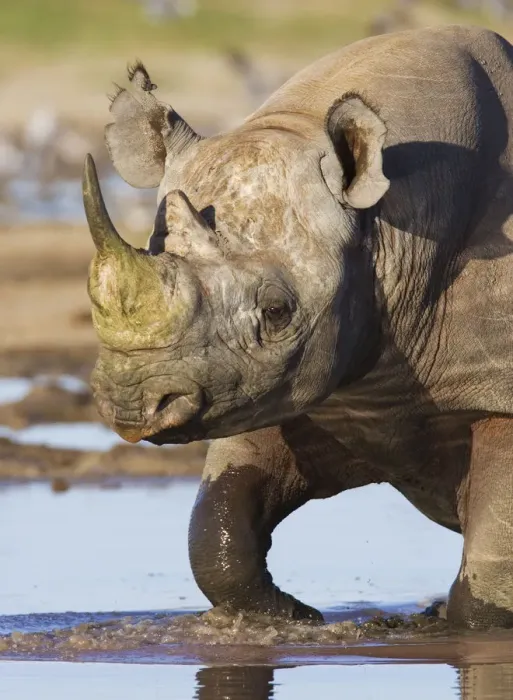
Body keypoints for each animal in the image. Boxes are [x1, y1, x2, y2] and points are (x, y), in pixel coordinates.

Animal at [83, 24, 513, 629]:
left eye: (277, 311)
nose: (131, 403)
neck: (391, 225)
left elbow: (491, 576)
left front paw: (445, 627)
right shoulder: (275, 386)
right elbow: (217, 526)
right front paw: (291, 618)